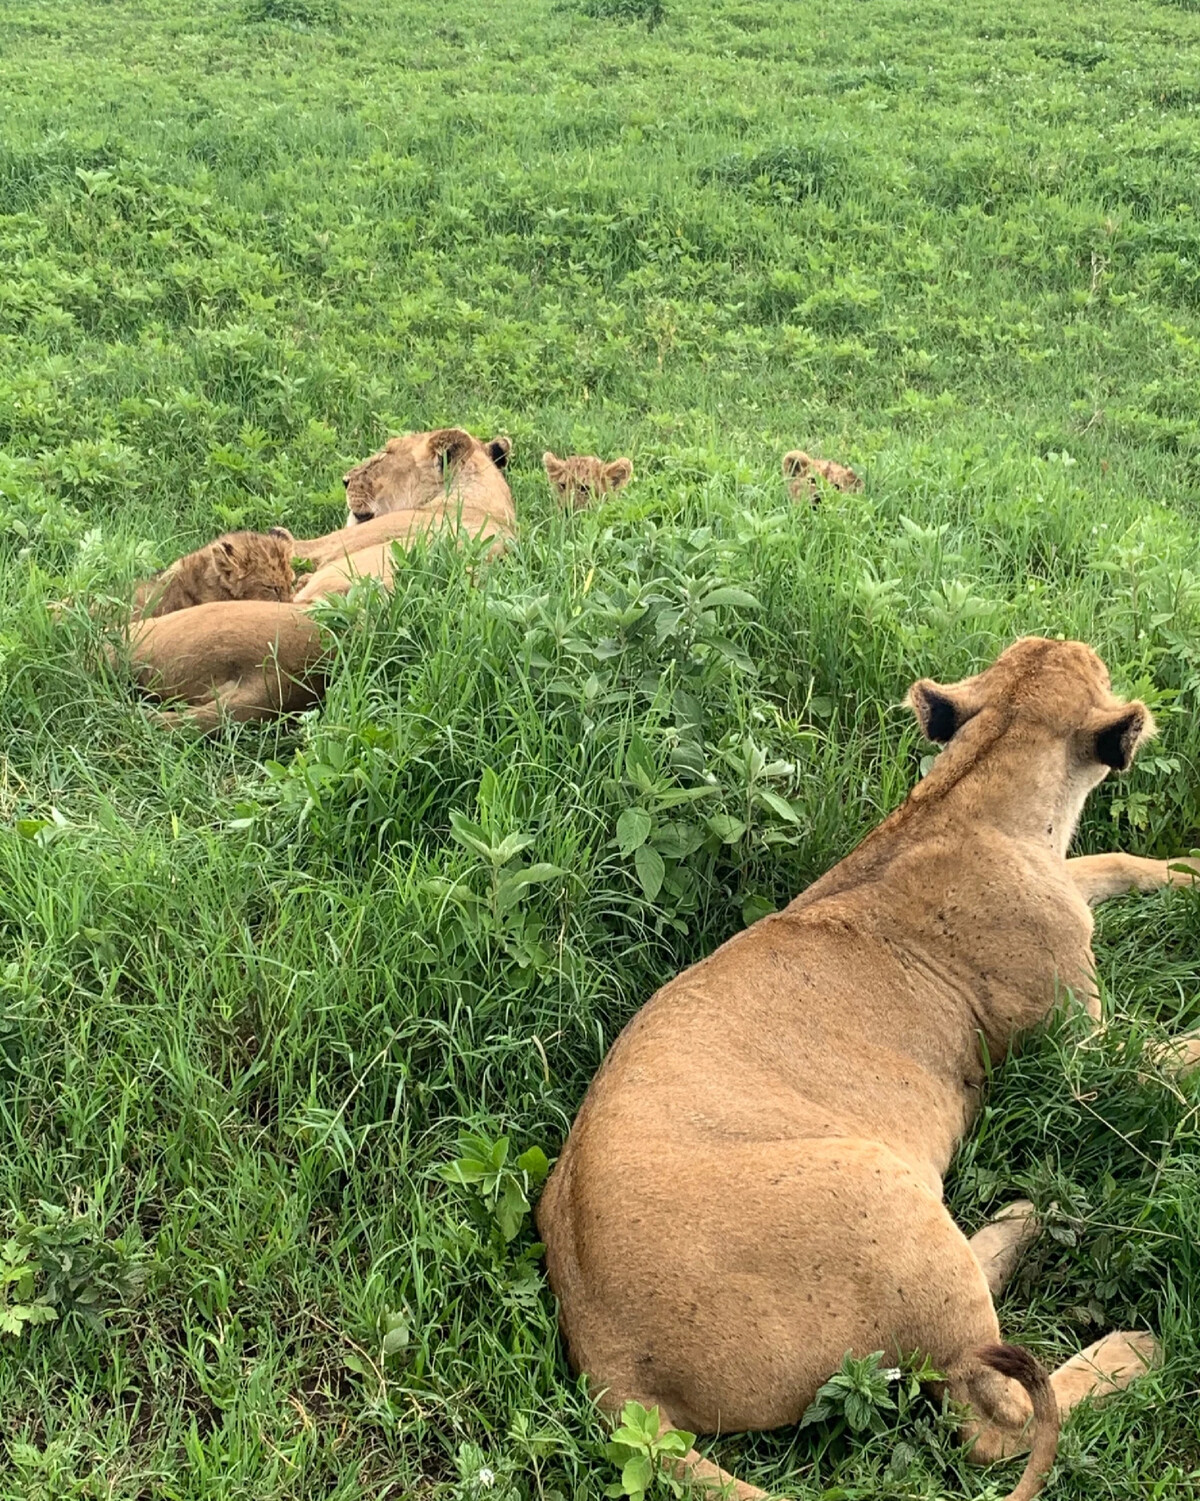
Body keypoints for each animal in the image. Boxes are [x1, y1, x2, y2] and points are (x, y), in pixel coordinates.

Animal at [540, 639, 1200, 1501]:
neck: (968, 794)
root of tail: (605, 1359)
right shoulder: (1083, 1056)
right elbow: (1176, 1054)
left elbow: (1116, 858)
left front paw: (1190, 872)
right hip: (879, 1187)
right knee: (998, 1423)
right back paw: (1139, 1345)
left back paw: (1028, 1215)